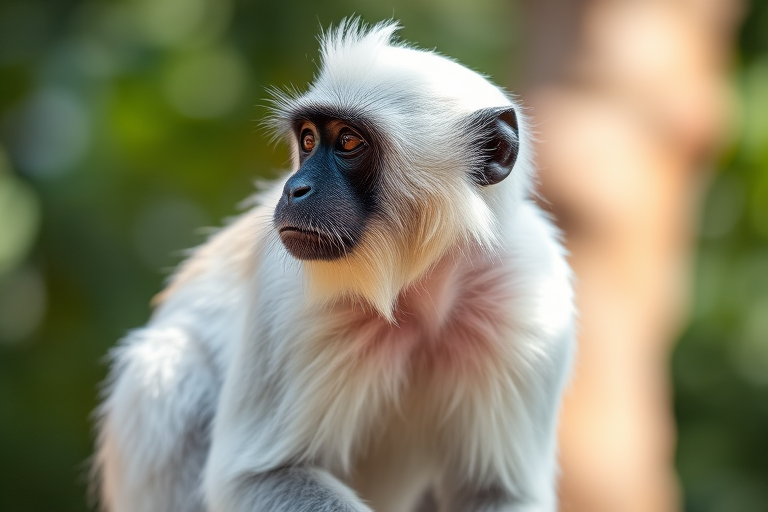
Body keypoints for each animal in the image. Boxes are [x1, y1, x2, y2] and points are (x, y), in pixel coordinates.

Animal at [94, 20, 575, 512]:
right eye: (308, 140)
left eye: (348, 141)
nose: (294, 189)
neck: (419, 295)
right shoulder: (286, 294)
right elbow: (254, 477)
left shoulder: (529, 295)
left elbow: (496, 490)